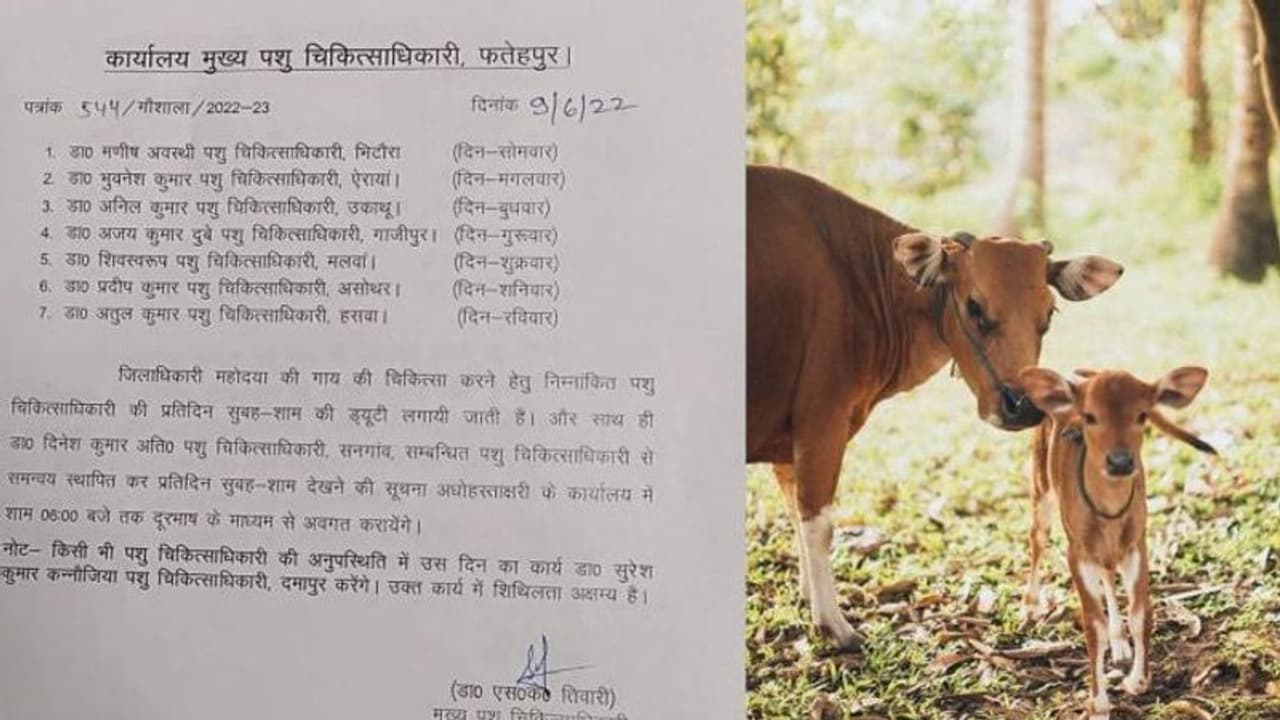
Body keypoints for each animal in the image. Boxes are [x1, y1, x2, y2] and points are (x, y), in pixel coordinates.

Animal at [746, 165, 1124, 649]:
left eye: (1049, 315)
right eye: (974, 307)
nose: (1023, 407)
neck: (860, 282)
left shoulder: (789, 441)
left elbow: (796, 513)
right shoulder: (821, 421)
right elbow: (819, 522)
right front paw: (833, 623)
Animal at [1018, 366, 1214, 719]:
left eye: (1142, 415)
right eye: (1089, 416)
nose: (1120, 462)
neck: (1108, 512)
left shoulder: (1137, 543)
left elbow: (1141, 612)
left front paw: (1138, 680)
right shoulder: (1077, 552)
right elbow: (1091, 625)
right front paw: (1097, 702)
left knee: (1108, 574)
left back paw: (1120, 642)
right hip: (1040, 485)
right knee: (1037, 538)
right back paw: (1029, 605)